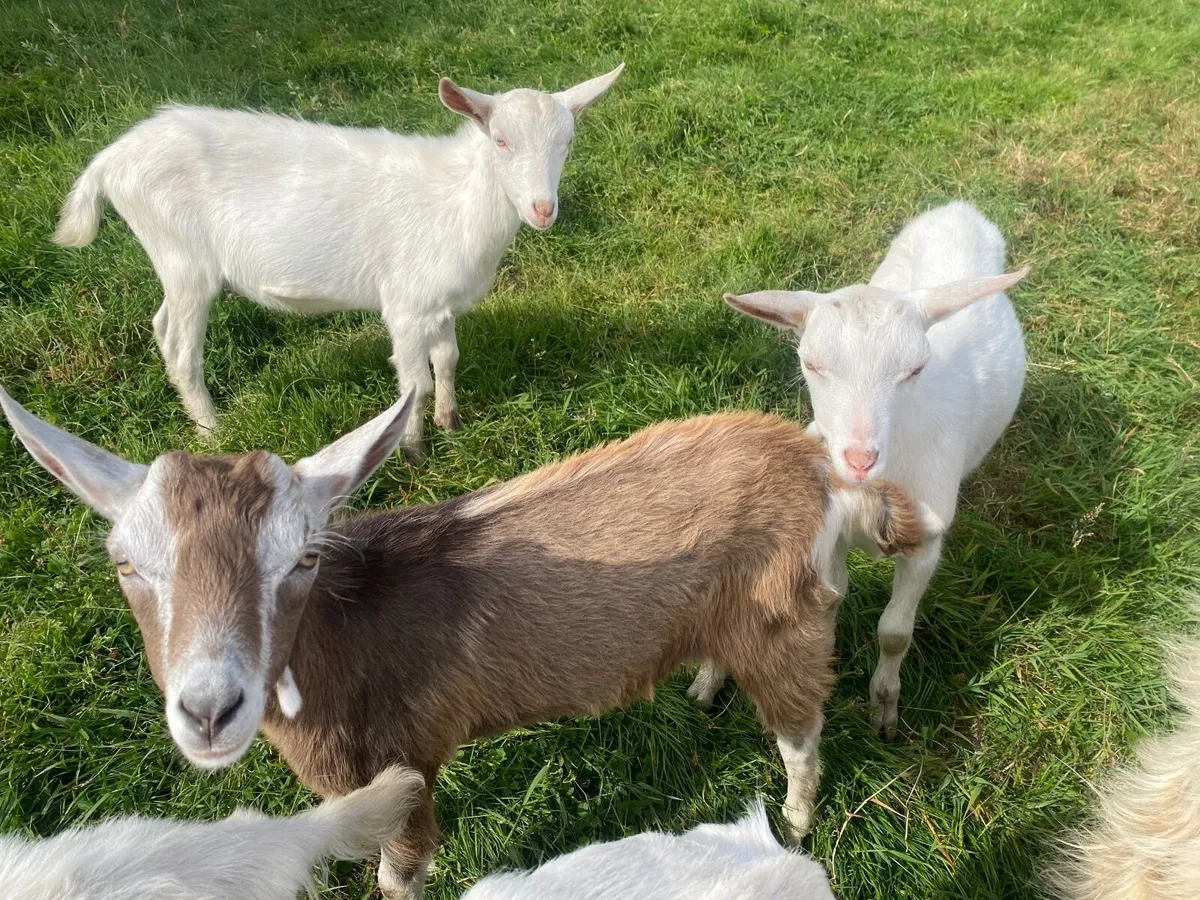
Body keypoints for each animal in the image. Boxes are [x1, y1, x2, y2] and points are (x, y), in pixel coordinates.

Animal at [52, 64, 624, 458]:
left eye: (568, 142)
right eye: (501, 141)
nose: (543, 209)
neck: (458, 199)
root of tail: (109, 162)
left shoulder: (438, 302)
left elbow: (447, 360)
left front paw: (452, 425)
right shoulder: (405, 304)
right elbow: (413, 383)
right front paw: (415, 452)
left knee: (161, 324)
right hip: (182, 255)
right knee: (180, 348)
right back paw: (214, 431)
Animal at [692, 200, 1029, 739]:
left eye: (916, 368)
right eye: (810, 364)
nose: (858, 459)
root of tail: (958, 208)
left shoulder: (927, 541)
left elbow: (894, 632)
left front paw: (884, 711)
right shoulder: (827, 533)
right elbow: (826, 602)